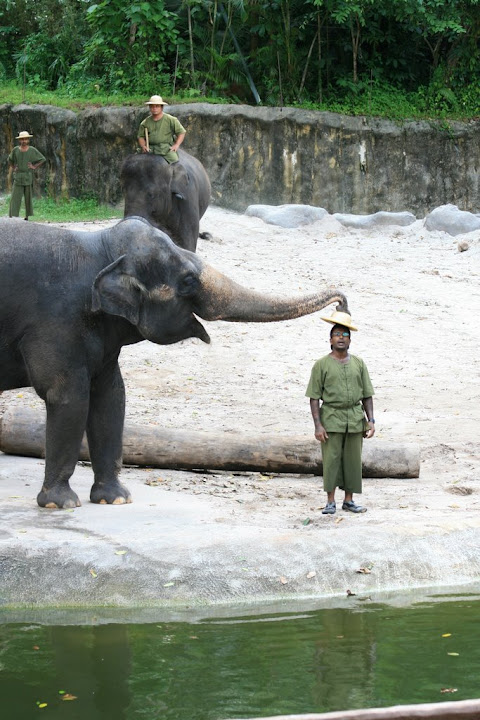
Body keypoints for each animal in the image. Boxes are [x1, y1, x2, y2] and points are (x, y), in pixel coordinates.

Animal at [0, 216, 348, 509]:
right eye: (189, 281)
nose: (341, 303)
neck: (99, 246)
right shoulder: (54, 324)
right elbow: (68, 397)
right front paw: (60, 504)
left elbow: (111, 396)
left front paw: (115, 499)